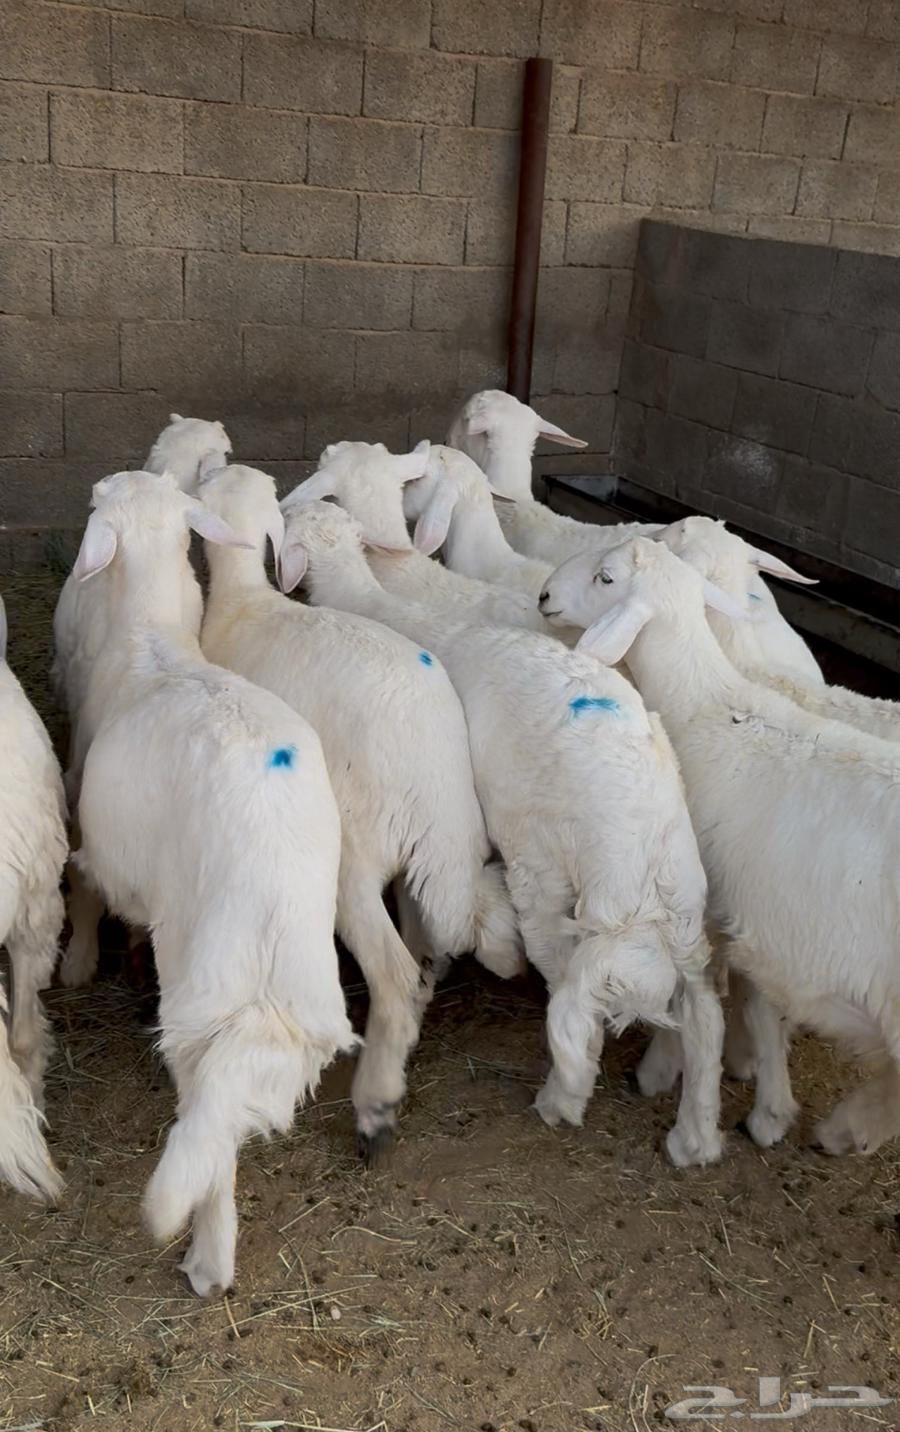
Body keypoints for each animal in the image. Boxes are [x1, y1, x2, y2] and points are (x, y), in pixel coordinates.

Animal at [70, 471, 354, 1295]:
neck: (154, 637)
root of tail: (269, 888)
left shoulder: (92, 835)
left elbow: (87, 895)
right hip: (303, 994)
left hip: (200, 982)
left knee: (206, 1109)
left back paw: (208, 1255)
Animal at [197, 460, 522, 1160]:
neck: (245, 601)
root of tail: (427, 779)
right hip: (445, 848)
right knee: (433, 943)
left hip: (352, 857)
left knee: (396, 973)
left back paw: (375, 1108)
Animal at [277, 495, 725, 1168]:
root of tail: (639, 865)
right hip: (685, 908)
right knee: (703, 1012)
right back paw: (694, 1133)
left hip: (544, 871)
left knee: (569, 993)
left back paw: (562, 1096)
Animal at [540, 536, 900, 1156]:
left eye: (605, 578)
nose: (543, 595)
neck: (707, 702)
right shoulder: (757, 923)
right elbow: (761, 1009)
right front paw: (769, 1105)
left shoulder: (709, 908)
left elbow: (702, 1002)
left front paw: (666, 1073)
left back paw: (846, 1128)